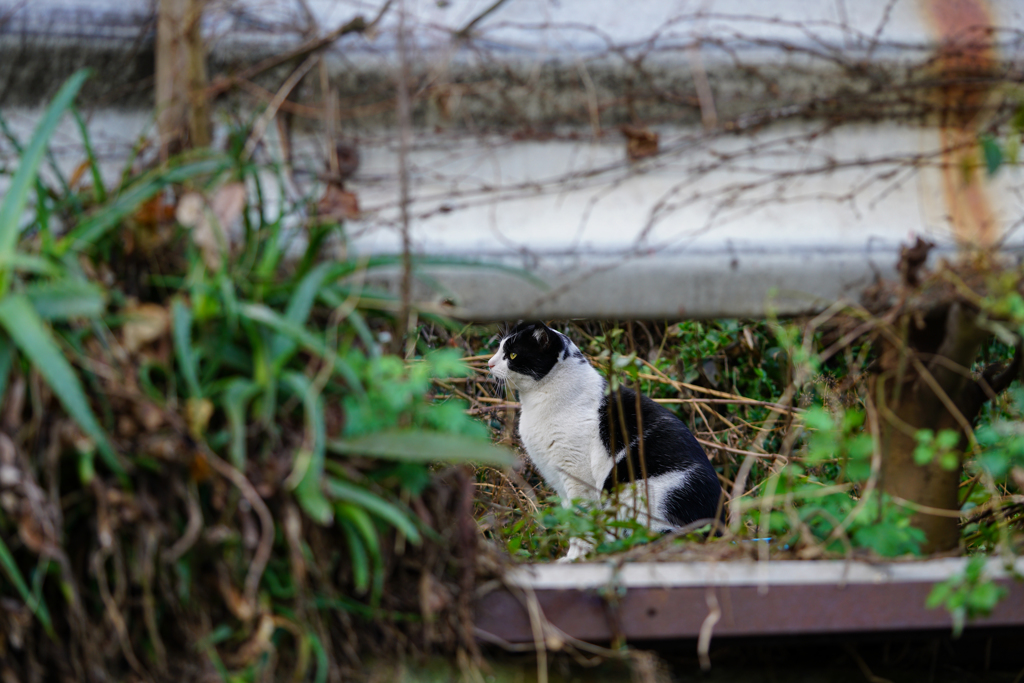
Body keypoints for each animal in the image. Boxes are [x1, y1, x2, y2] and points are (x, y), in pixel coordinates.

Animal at [485, 321, 720, 561]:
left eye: (512, 355)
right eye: (500, 348)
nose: (489, 363)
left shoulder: (577, 475)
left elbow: (581, 520)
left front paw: (575, 558)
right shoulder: (559, 480)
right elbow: (570, 518)